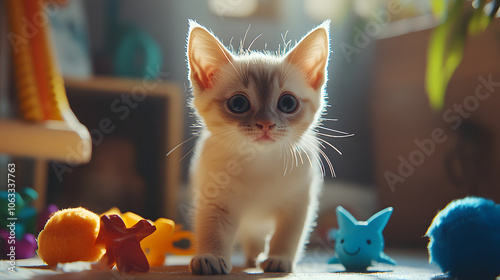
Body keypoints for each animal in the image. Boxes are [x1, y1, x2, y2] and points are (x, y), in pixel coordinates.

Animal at [186, 20, 330, 276]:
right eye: (238, 103)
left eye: (288, 103)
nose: (266, 123)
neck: (260, 163)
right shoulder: (215, 199)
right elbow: (212, 228)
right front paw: (210, 256)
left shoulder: (298, 203)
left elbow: (288, 234)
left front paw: (279, 258)